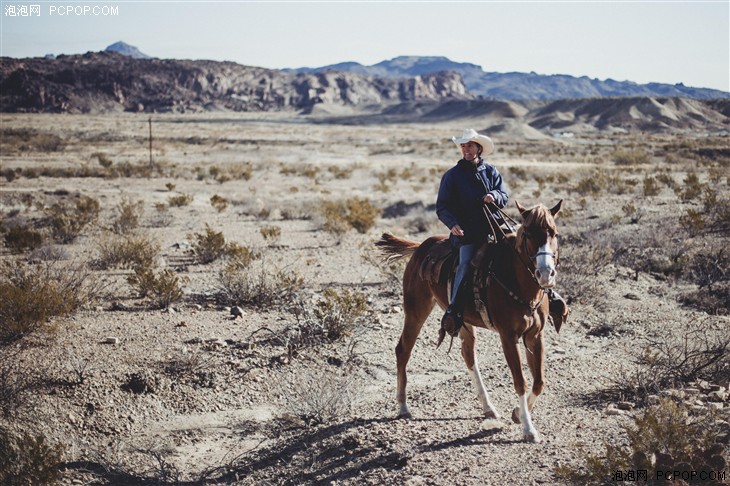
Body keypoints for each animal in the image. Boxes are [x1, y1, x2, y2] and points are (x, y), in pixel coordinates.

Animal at [372, 199, 560, 442]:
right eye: (527, 233)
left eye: (553, 233)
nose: (545, 273)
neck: (517, 281)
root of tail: (421, 247)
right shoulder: (508, 337)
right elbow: (520, 381)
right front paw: (528, 429)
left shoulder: (535, 336)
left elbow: (539, 382)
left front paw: (518, 413)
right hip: (416, 311)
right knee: (403, 350)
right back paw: (403, 407)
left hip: (462, 320)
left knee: (468, 354)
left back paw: (488, 407)